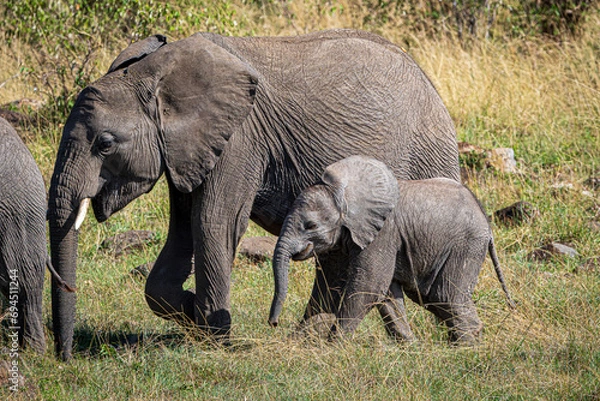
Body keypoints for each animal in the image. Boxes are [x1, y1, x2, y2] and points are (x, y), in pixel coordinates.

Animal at [49, 28, 460, 360]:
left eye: (104, 144)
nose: (64, 356)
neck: (155, 73)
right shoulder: (187, 149)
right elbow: (182, 230)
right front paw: (192, 312)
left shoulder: (240, 140)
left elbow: (213, 222)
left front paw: (213, 336)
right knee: (338, 255)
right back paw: (310, 342)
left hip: (425, 155)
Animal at [270, 155, 512, 342]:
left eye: (311, 225)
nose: (273, 323)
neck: (345, 193)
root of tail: (486, 222)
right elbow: (383, 292)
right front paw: (410, 346)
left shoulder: (383, 233)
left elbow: (370, 285)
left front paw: (334, 345)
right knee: (435, 298)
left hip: (466, 245)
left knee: (448, 295)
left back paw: (467, 349)